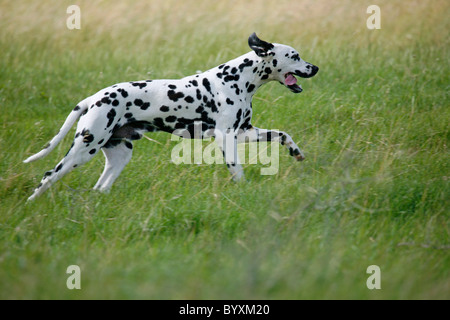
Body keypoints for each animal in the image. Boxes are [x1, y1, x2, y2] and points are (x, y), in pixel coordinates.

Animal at [24, 32, 318, 200]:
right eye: (295, 55)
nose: (315, 68)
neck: (237, 79)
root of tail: (94, 98)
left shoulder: (245, 132)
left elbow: (282, 134)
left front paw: (296, 152)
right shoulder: (226, 138)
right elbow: (237, 169)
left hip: (119, 155)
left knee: (100, 188)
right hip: (83, 150)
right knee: (48, 176)